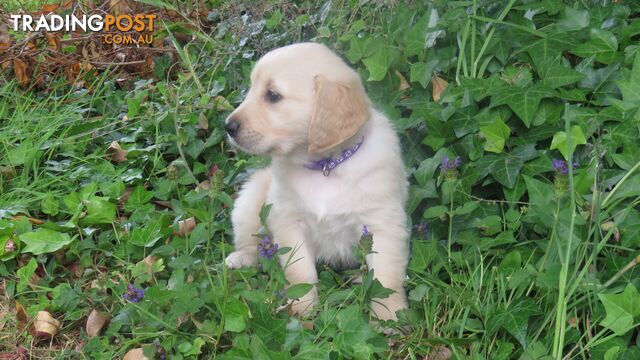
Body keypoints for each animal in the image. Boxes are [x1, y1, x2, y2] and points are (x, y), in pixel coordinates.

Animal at [222, 42, 408, 320]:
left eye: (273, 95)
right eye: (251, 89)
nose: (228, 126)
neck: (325, 166)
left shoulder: (382, 224)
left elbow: (386, 280)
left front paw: (390, 318)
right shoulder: (289, 221)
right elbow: (300, 273)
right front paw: (300, 312)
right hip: (250, 200)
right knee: (249, 237)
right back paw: (242, 258)